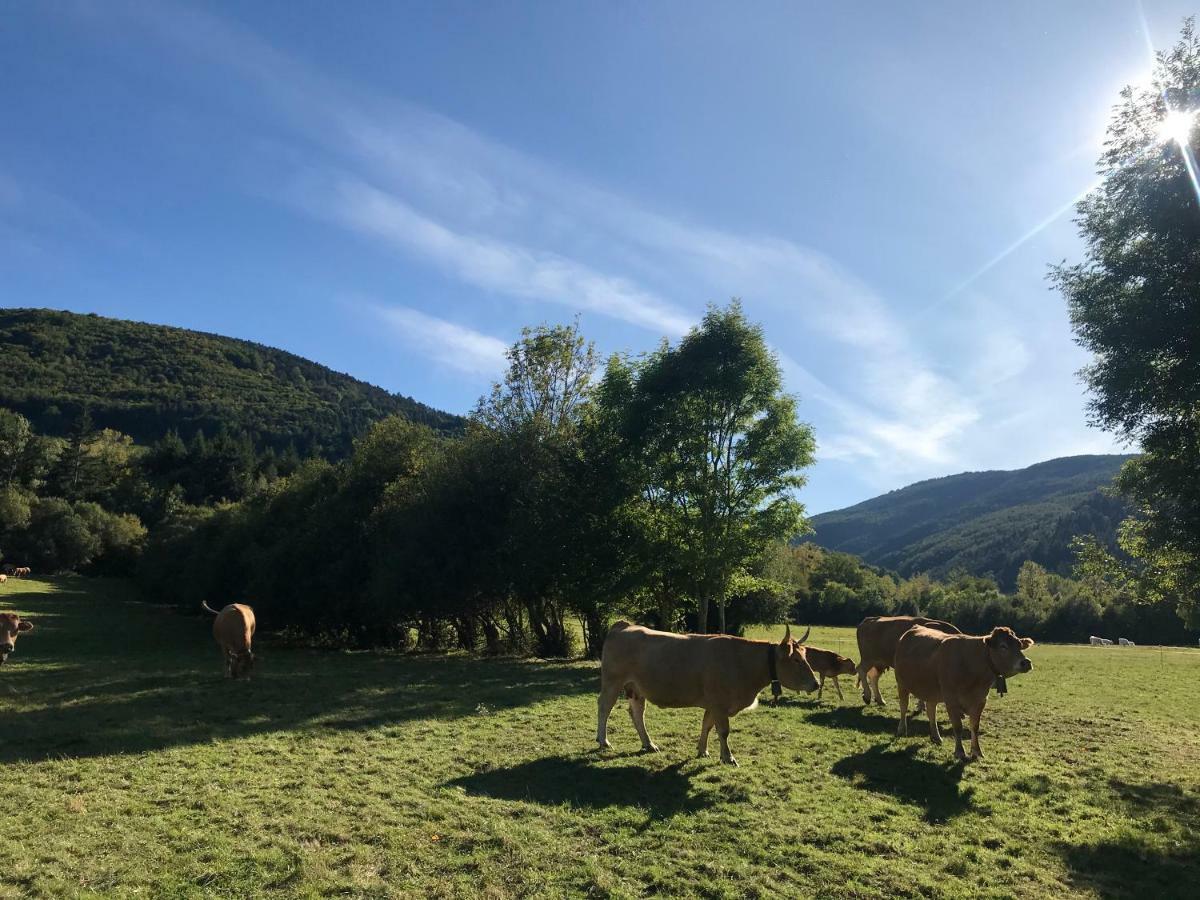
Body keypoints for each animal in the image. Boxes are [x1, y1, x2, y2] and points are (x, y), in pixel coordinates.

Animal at [597, 628, 820, 768]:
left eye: (805, 657)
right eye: (796, 659)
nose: (816, 684)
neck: (742, 661)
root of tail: (624, 625)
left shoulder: (714, 704)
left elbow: (707, 725)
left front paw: (702, 751)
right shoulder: (720, 704)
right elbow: (723, 731)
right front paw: (728, 757)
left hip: (636, 689)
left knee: (637, 713)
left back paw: (648, 744)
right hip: (612, 681)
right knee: (604, 708)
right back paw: (603, 740)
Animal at [892, 628, 1032, 763]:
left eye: (1019, 645)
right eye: (1003, 646)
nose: (1026, 662)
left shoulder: (980, 701)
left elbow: (974, 727)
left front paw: (977, 751)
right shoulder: (951, 700)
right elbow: (958, 727)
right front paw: (960, 752)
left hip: (932, 691)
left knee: (931, 711)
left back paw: (936, 737)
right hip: (901, 683)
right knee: (904, 706)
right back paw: (902, 729)